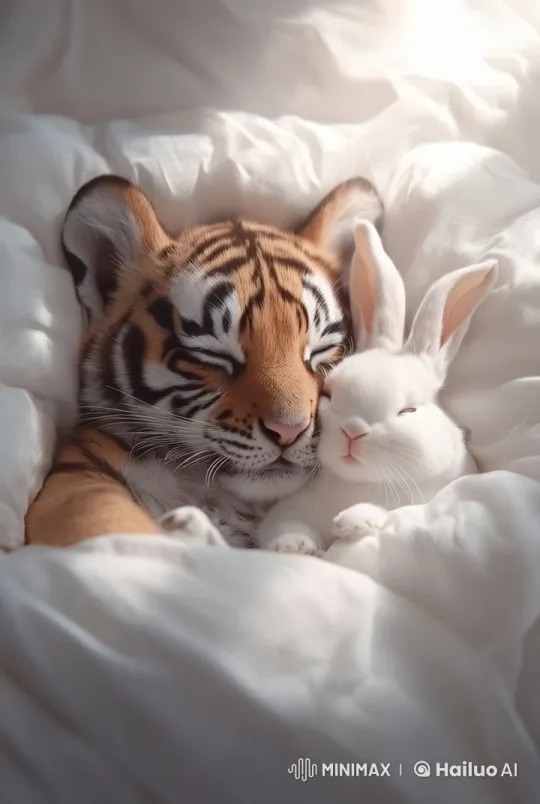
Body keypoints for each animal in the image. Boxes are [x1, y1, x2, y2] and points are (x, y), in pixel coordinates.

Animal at [255, 220, 497, 556]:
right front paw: (295, 546)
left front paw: (354, 521)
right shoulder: (289, 509)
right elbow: (282, 526)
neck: (362, 483)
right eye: (329, 395)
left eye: (408, 410)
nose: (353, 432)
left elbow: (386, 514)